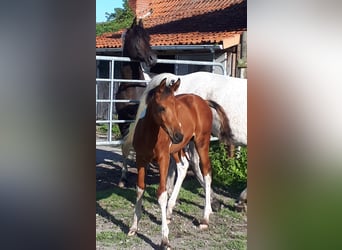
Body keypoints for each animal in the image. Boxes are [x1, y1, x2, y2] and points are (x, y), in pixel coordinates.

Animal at [128, 78, 232, 248]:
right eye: (162, 108)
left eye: (176, 107)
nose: (178, 135)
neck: (149, 133)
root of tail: (203, 101)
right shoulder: (140, 159)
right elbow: (140, 189)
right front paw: (133, 227)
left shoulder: (163, 159)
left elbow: (162, 193)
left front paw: (165, 240)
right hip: (178, 149)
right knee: (183, 166)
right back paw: (170, 212)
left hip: (201, 143)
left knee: (206, 173)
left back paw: (205, 218)